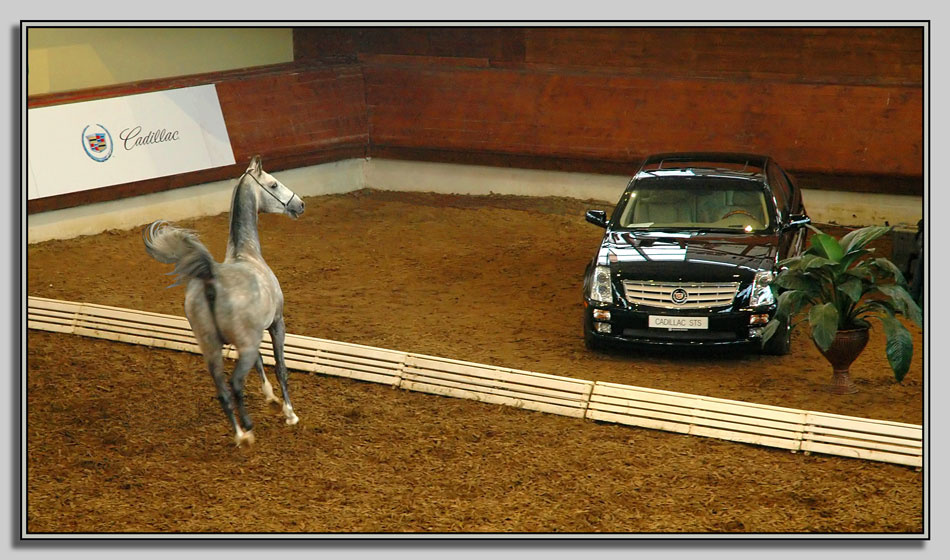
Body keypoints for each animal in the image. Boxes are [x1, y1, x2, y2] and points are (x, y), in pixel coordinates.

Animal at [143, 155, 306, 446]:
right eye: (273, 184)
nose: (299, 204)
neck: (247, 254)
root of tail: (211, 280)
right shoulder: (276, 324)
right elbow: (280, 368)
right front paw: (289, 412)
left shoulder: (253, 337)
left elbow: (261, 364)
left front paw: (271, 399)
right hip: (244, 345)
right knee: (236, 383)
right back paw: (248, 428)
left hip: (211, 349)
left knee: (222, 389)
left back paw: (240, 434)